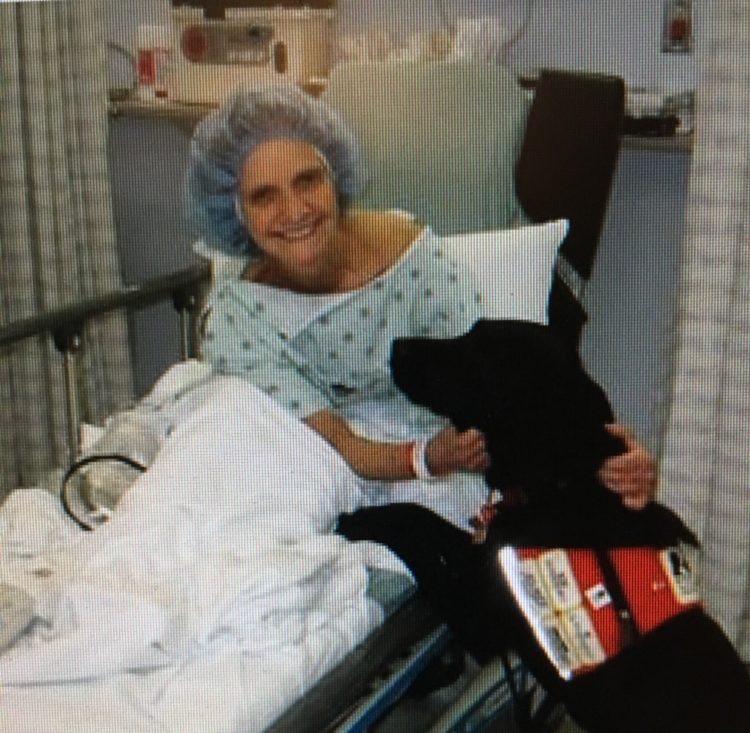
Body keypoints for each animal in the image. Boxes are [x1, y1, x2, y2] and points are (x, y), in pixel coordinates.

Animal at [344, 318, 750, 732]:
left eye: (480, 356)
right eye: (472, 330)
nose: (398, 346)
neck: (560, 485)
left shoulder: (478, 625)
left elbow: (418, 530)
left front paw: (360, 520)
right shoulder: (490, 548)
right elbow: (437, 526)